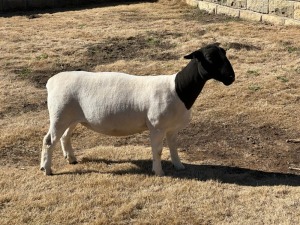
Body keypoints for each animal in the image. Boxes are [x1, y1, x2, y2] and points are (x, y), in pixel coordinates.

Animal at [41, 43, 236, 174]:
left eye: (225, 55)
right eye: (210, 59)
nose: (231, 78)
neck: (178, 89)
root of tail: (51, 81)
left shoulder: (172, 128)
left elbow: (173, 147)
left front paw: (179, 166)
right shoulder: (157, 126)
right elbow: (158, 150)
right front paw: (158, 172)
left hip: (72, 117)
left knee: (65, 137)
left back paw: (71, 159)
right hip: (59, 114)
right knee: (49, 141)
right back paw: (46, 169)